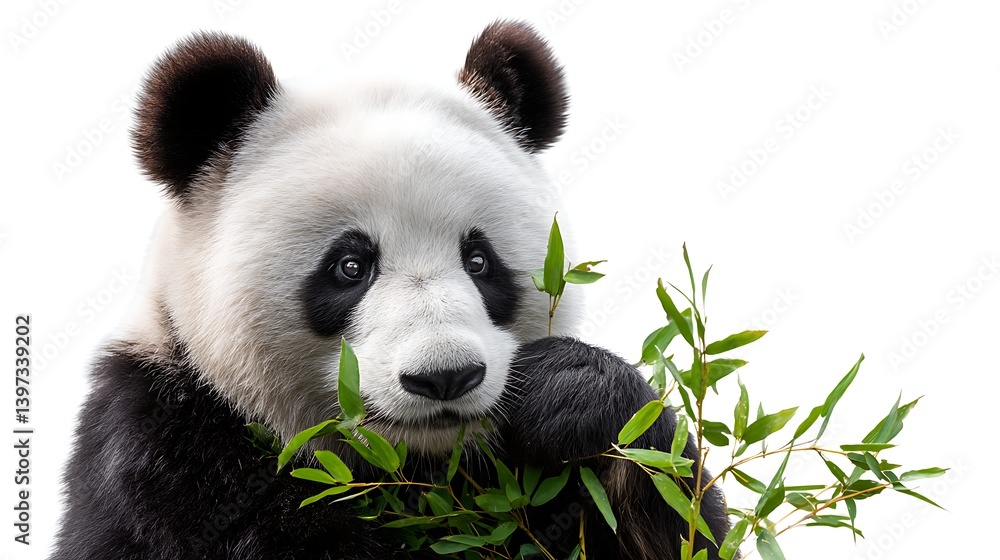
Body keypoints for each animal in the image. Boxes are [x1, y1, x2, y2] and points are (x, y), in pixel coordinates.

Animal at [53, 21, 731, 560]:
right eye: (350, 266)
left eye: (479, 261)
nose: (445, 377)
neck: (411, 468)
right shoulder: (168, 452)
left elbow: (680, 513)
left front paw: (571, 393)